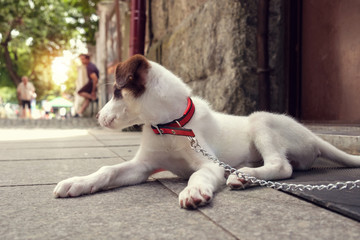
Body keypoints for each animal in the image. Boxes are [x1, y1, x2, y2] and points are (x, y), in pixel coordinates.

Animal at [53, 54, 360, 208]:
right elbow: (108, 170)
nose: (97, 117)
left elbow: (198, 174)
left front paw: (194, 190)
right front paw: (79, 182)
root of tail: (313, 136)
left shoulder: (210, 164)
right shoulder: (142, 166)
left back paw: (244, 176)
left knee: (282, 166)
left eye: (117, 92)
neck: (171, 126)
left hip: (261, 121)